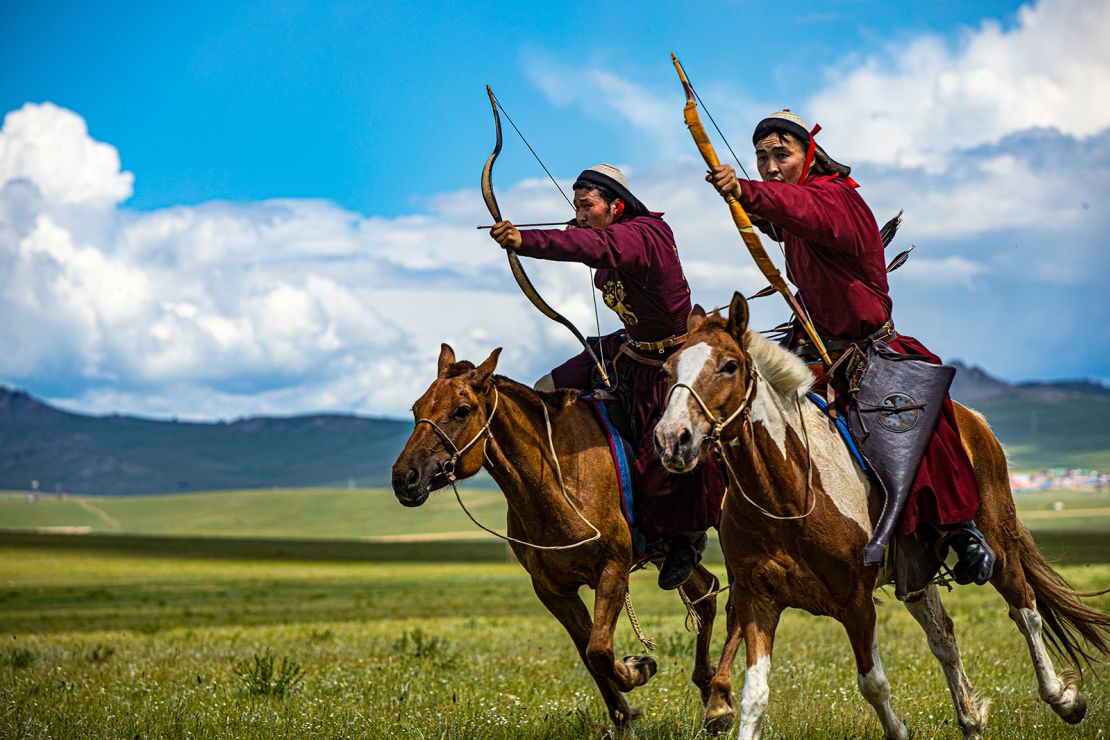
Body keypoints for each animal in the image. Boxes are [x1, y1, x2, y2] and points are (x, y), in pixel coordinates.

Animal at [390, 346, 719, 727]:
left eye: (462, 410)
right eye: (416, 408)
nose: (405, 478)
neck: (556, 480)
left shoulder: (613, 568)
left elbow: (600, 650)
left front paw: (639, 668)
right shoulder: (552, 589)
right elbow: (590, 654)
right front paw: (623, 715)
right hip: (669, 554)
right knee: (706, 592)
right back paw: (714, 698)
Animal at [648, 292, 1110, 736]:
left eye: (729, 366)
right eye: (669, 369)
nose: (672, 438)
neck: (789, 495)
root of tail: (974, 420)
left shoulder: (856, 603)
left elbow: (873, 684)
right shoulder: (757, 600)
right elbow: (755, 698)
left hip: (1000, 541)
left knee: (1026, 611)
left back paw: (1064, 700)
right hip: (915, 572)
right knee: (944, 637)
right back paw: (971, 721)